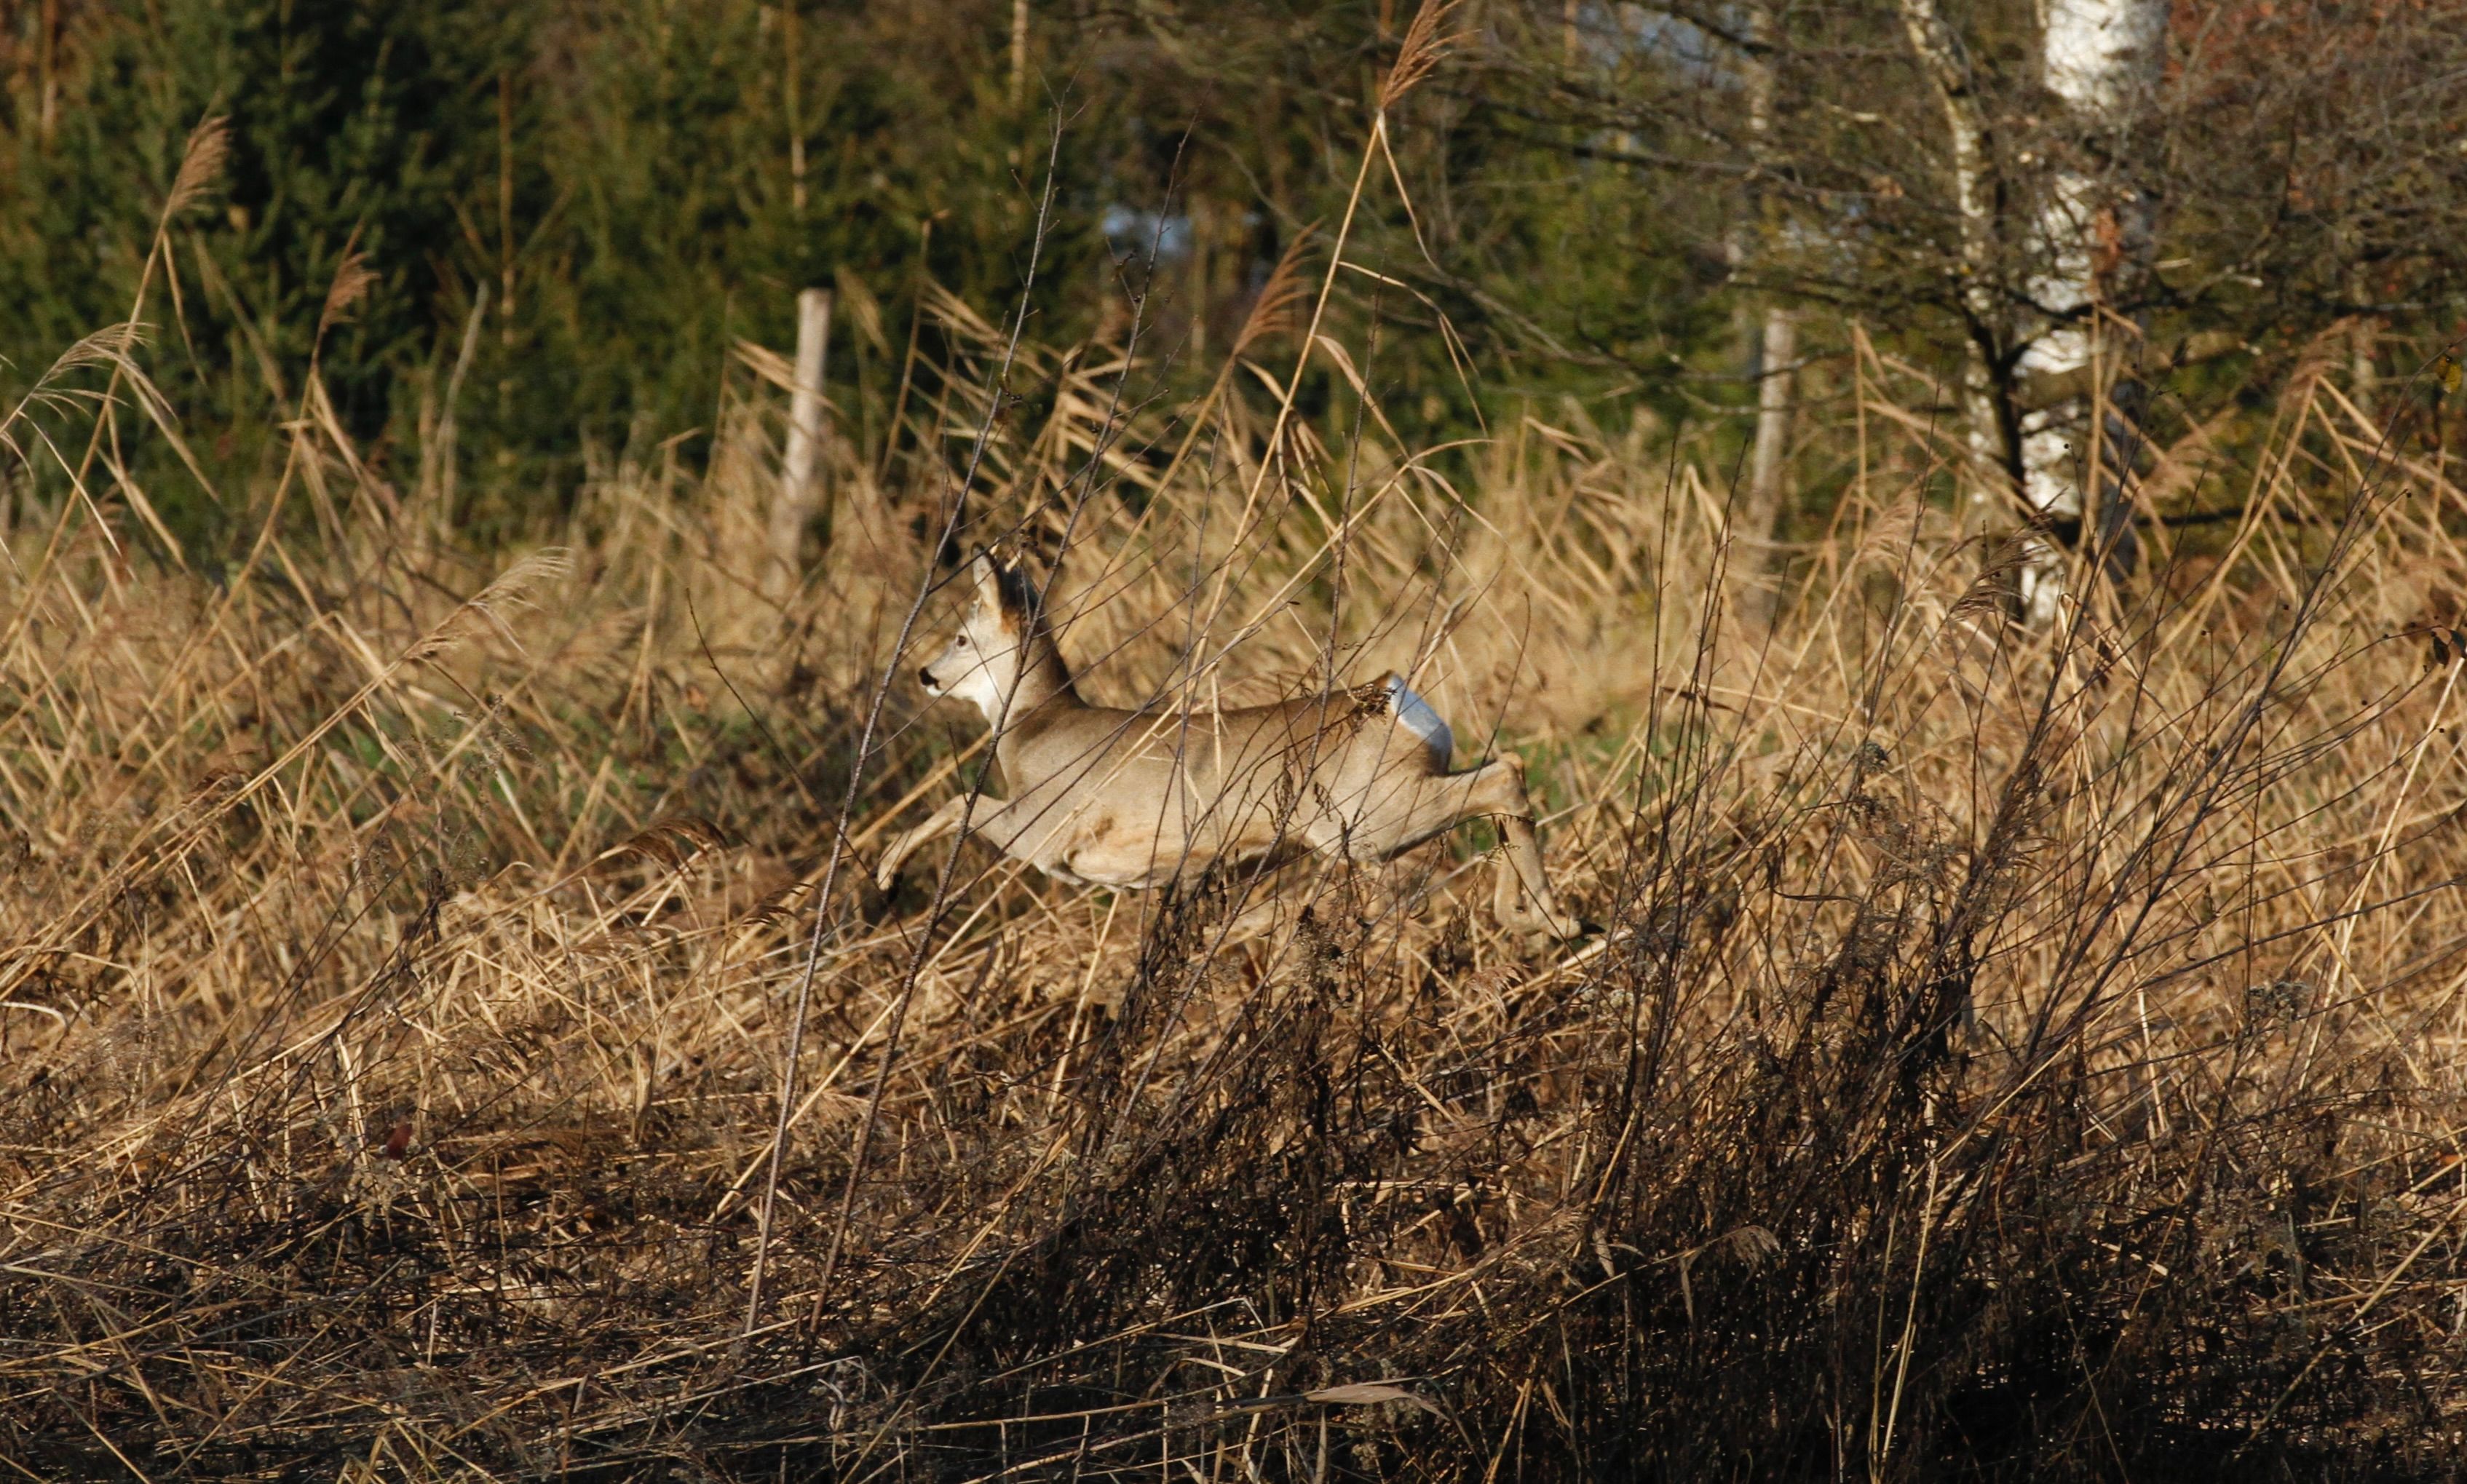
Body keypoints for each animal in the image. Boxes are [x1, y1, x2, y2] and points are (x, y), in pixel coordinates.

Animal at [871, 551, 1584, 939]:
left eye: (962, 636)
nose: (925, 674)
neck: (1032, 724)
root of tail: (1395, 697)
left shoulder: (1044, 830)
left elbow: (956, 802)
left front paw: (886, 871)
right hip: (1382, 806)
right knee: (1501, 778)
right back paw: (1549, 920)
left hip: (1363, 819)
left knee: (1494, 787)